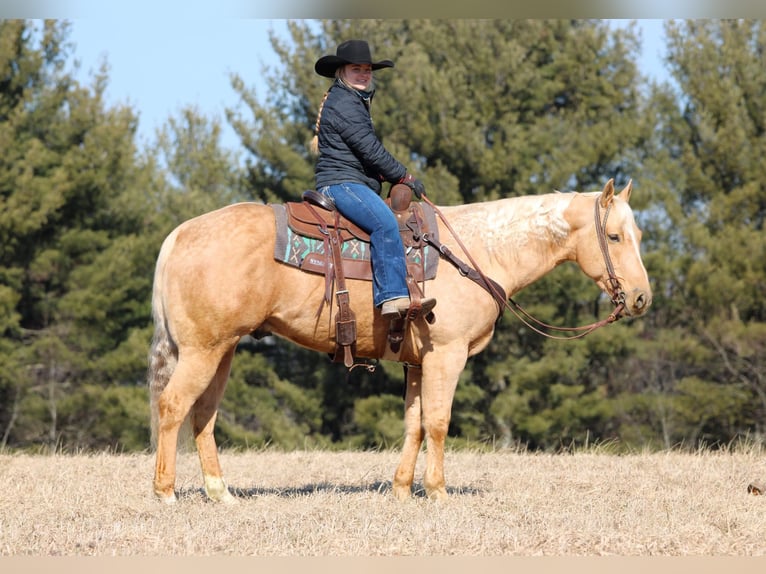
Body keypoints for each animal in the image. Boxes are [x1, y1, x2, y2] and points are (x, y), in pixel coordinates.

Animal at [147, 179, 652, 504]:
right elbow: (439, 423)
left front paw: (402, 489)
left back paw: (221, 494)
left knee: (204, 416)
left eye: (639, 234)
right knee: (173, 407)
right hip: (203, 351)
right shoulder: (447, 355)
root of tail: (178, 235)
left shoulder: (416, 363)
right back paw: (166, 494)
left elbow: (414, 424)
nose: (642, 297)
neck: (475, 251)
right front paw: (439, 492)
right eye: (613, 236)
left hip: (223, 350)